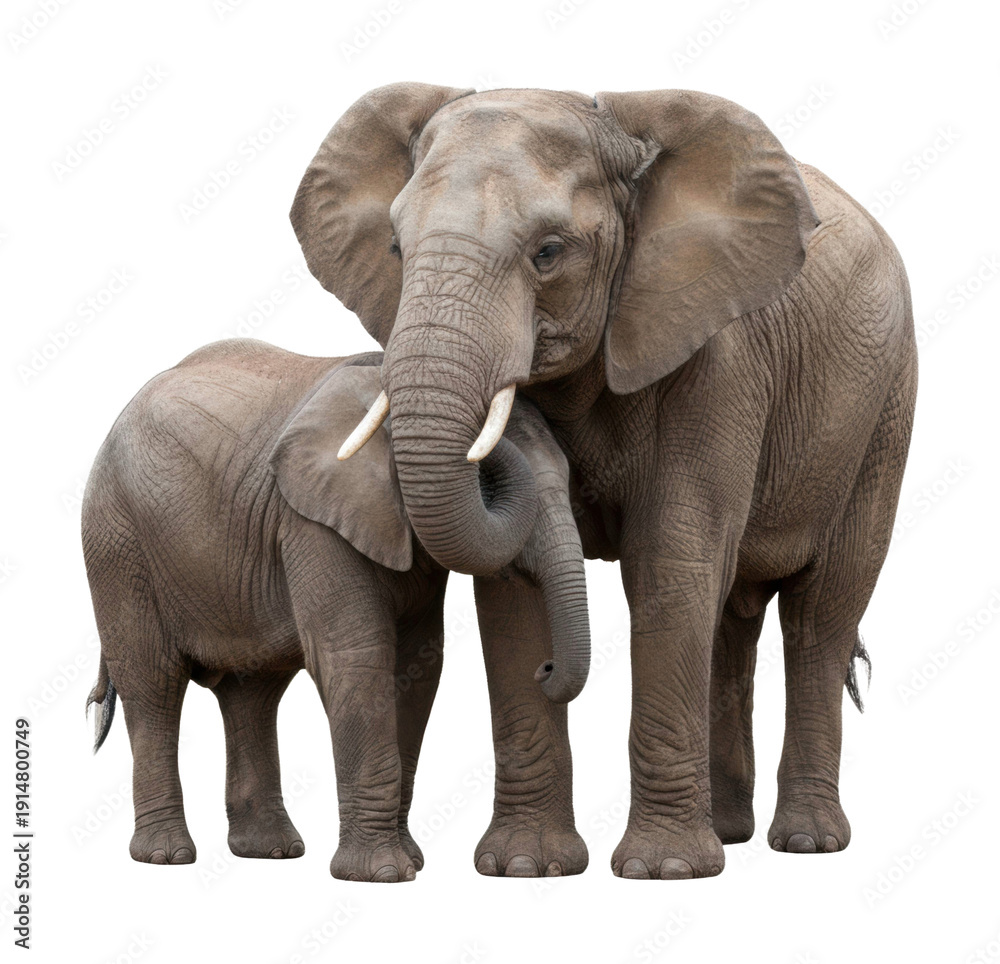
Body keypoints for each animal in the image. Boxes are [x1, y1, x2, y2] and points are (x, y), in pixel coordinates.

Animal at [82, 338, 590, 881]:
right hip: (117, 543)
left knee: (250, 692)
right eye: (488, 484)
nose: (545, 668)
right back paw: (165, 857)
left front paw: (407, 862)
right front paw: (382, 874)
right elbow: (355, 657)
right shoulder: (312, 521)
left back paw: (269, 852)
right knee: (153, 683)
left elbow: (415, 669)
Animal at [290, 83, 917, 879]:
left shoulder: (717, 356)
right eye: (397, 248)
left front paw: (664, 871)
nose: (552, 669)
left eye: (549, 253)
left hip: (884, 410)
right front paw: (525, 867)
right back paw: (730, 833)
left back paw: (805, 843)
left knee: (821, 613)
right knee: (732, 618)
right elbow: (514, 584)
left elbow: (671, 564)